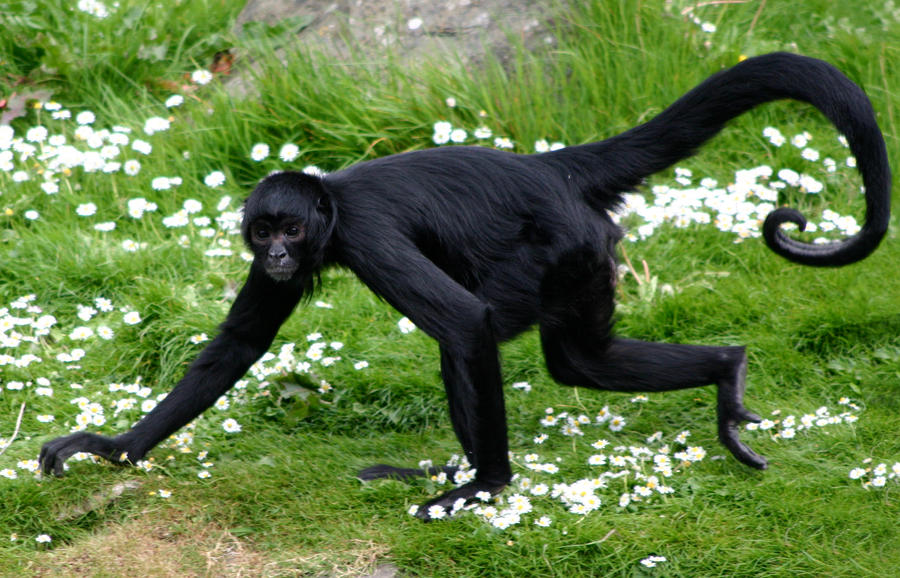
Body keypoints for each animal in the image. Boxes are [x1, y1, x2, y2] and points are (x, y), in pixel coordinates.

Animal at [41, 53, 891, 519]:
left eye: (292, 231)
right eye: (263, 233)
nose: (279, 254)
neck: (332, 203)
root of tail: (552, 168)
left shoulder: (367, 236)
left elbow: (464, 319)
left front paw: (489, 486)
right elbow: (241, 341)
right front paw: (113, 449)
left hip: (562, 249)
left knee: (483, 336)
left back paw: (474, 478)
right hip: (585, 258)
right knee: (578, 358)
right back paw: (724, 368)